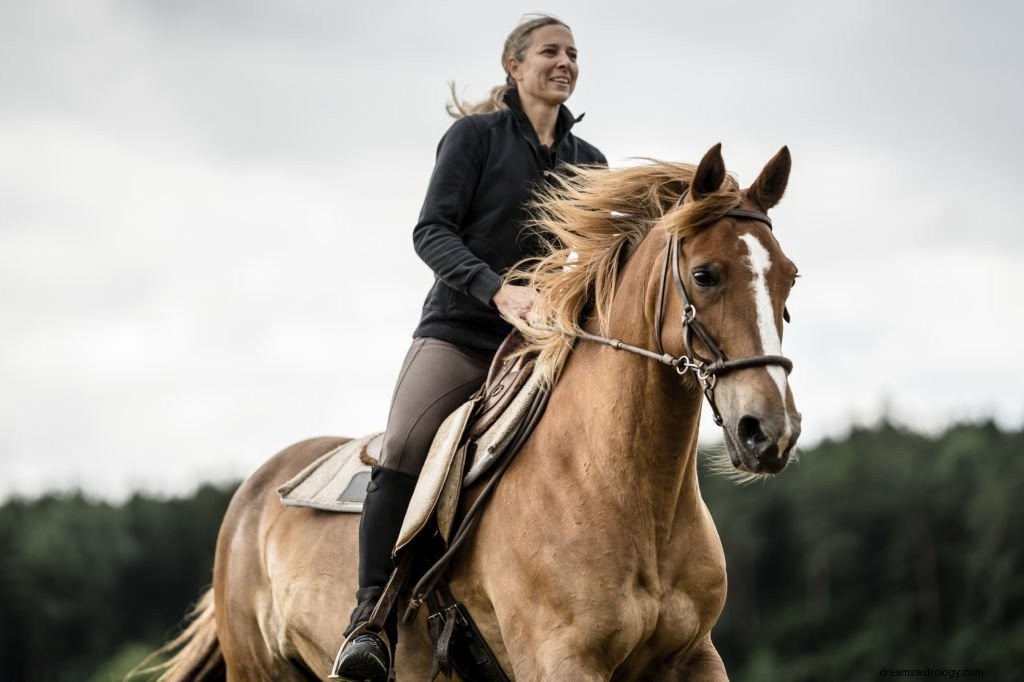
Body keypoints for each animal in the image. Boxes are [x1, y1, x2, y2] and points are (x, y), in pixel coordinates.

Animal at [148, 140, 798, 675]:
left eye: (789, 278)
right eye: (705, 275)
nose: (770, 432)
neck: (627, 491)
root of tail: (256, 490)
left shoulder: (693, 658)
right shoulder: (560, 661)